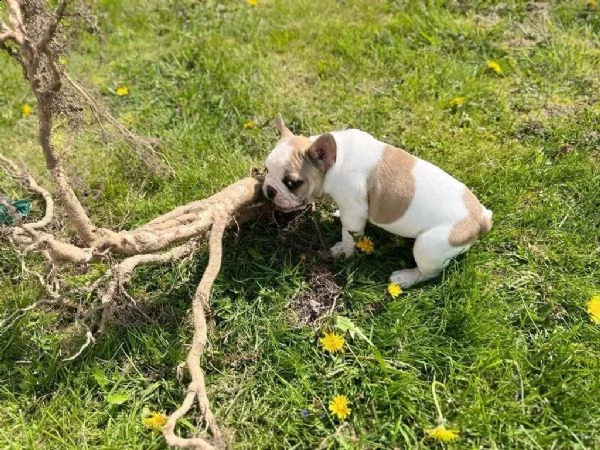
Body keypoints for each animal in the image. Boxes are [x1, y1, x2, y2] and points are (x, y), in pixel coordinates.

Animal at [262, 114, 492, 286]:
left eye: (292, 183)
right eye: (266, 169)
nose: (269, 190)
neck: (337, 161)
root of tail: (482, 218)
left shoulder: (354, 211)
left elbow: (349, 234)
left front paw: (343, 251)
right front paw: (337, 214)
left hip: (429, 246)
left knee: (429, 273)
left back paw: (405, 277)